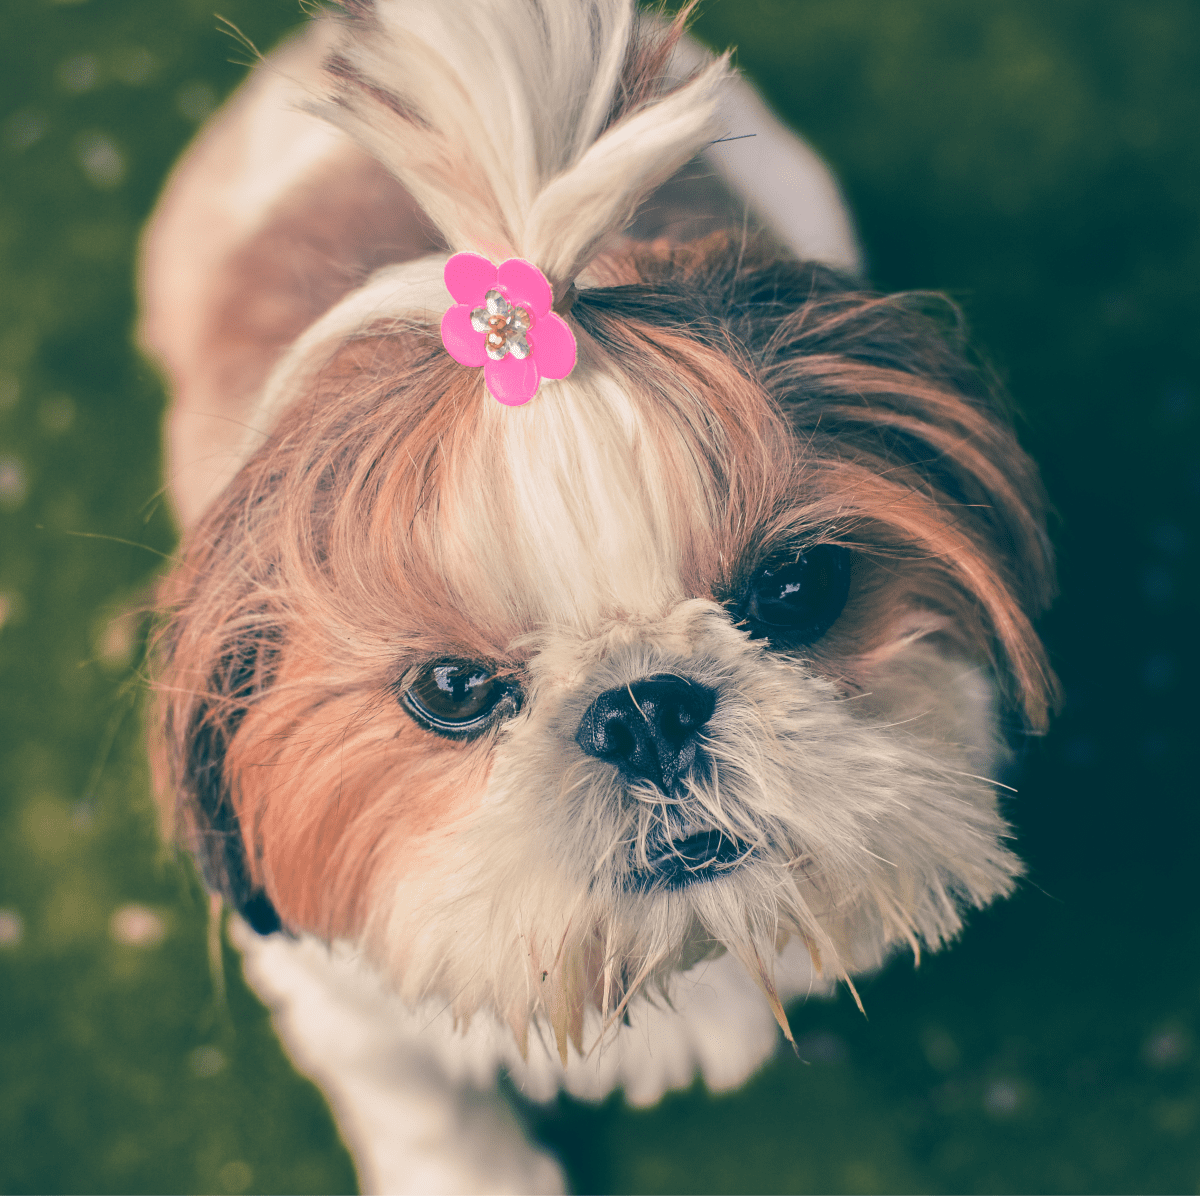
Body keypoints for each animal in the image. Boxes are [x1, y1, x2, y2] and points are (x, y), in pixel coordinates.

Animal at [140, 0, 1056, 1185]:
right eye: (450, 690)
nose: (645, 710)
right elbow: (416, 1100)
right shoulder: (341, 988)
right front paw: (473, 1177)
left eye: (797, 586)